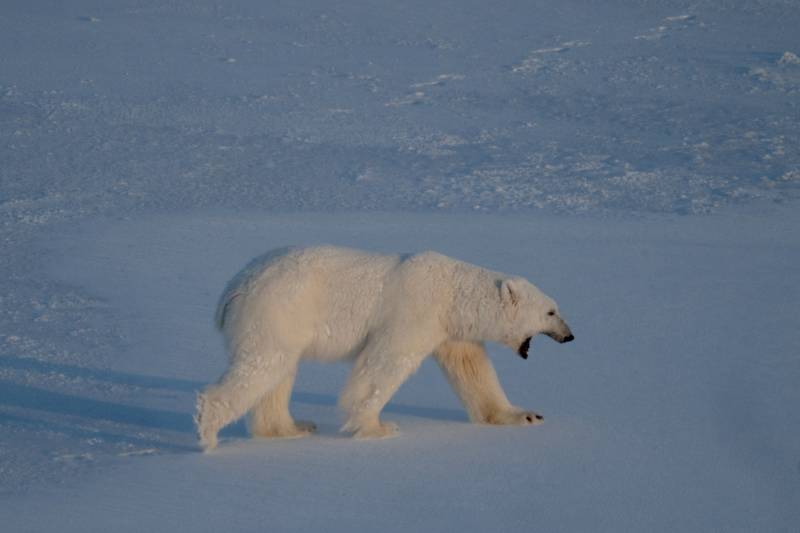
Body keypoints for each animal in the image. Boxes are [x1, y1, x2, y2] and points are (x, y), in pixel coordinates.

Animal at [195, 245, 574, 450]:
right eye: (551, 312)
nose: (570, 336)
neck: (453, 293)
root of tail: (233, 288)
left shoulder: (451, 330)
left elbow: (472, 370)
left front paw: (526, 415)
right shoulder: (416, 311)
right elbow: (385, 362)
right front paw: (378, 427)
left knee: (279, 372)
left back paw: (291, 428)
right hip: (278, 309)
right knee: (263, 365)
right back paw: (209, 432)